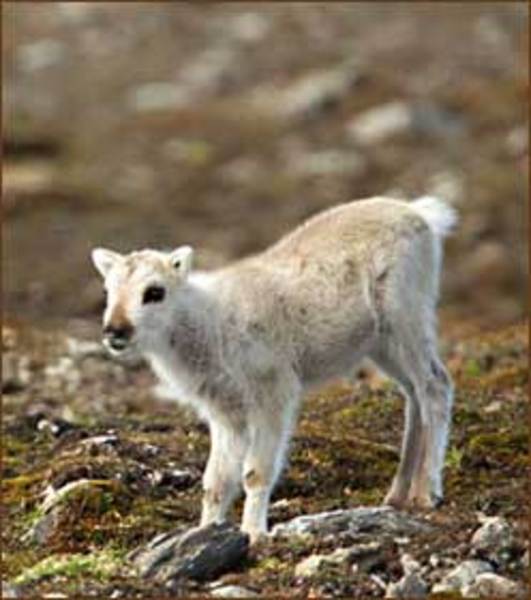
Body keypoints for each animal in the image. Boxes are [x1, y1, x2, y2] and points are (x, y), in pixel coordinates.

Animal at [92, 197, 458, 544]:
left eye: (155, 292)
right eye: (108, 291)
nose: (115, 331)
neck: (206, 324)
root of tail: (422, 213)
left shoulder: (273, 392)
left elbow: (255, 472)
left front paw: (254, 534)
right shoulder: (225, 412)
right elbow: (216, 481)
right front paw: (206, 531)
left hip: (406, 318)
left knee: (435, 386)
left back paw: (427, 492)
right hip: (383, 344)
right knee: (413, 394)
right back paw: (398, 493)